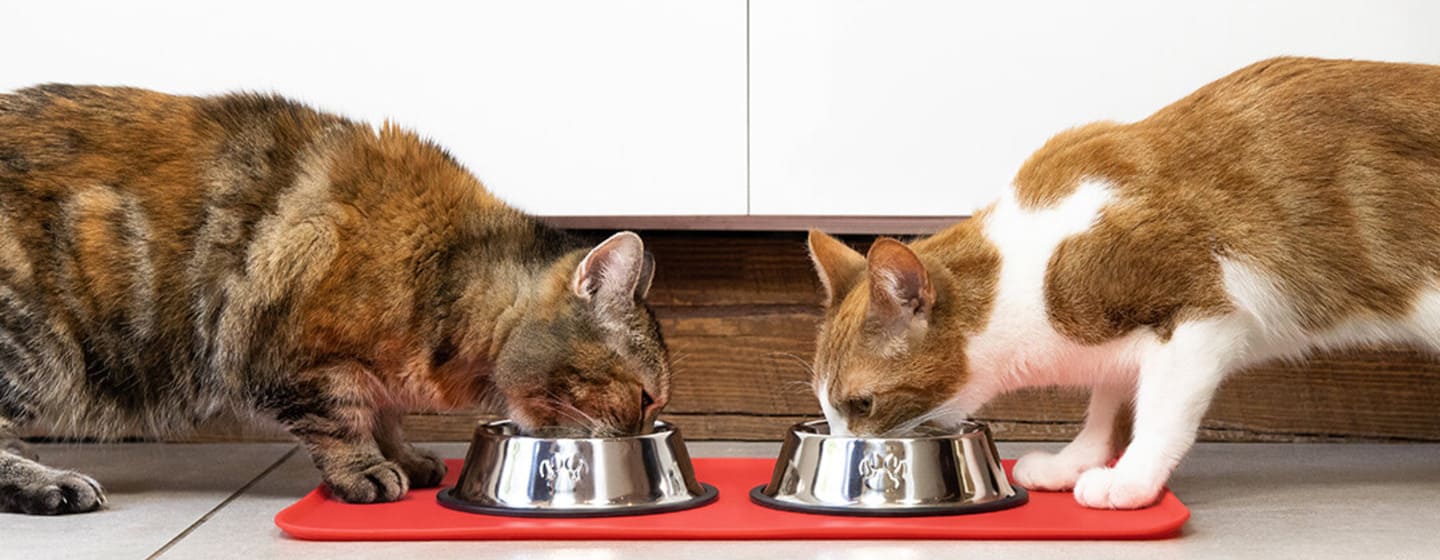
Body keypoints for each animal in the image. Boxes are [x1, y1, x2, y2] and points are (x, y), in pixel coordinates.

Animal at [0, 84, 671, 512]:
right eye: (644, 397)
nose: (644, 429)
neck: (446, 272)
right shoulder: (300, 359)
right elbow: (342, 419)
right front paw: (366, 468)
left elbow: (387, 413)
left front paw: (404, 455)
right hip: (35, 345)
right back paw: (49, 484)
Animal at [806, 56, 1440, 506]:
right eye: (828, 405)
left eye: (860, 402)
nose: (842, 441)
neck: (1028, 276)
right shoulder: (1119, 335)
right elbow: (1109, 400)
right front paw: (1077, 460)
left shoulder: (1198, 315)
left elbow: (1159, 412)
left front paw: (1130, 480)